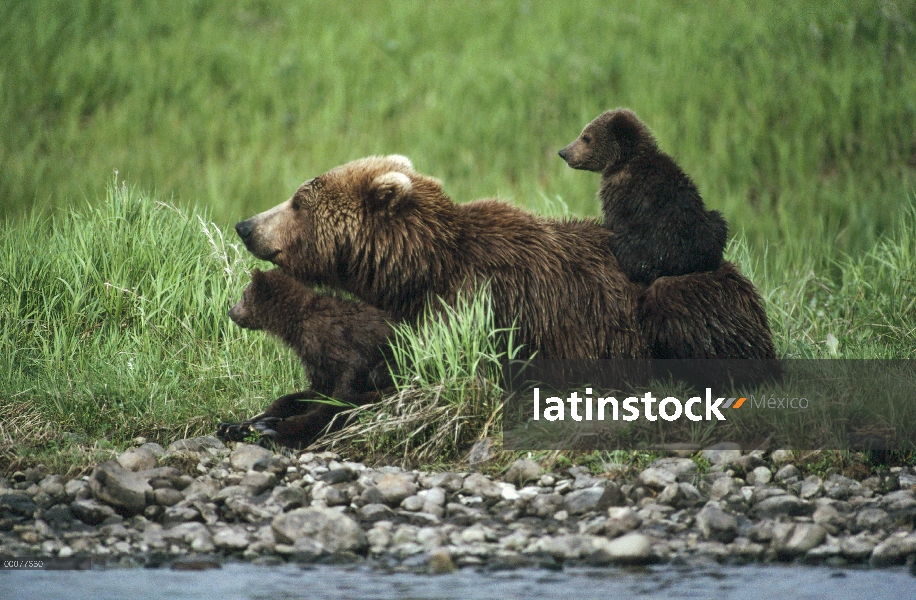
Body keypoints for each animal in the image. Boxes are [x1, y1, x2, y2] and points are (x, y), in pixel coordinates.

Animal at [560, 109, 728, 284]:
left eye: (586, 137)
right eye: (583, 134)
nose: (563, 152)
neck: (624, 160)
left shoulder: (620, 194)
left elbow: (612, 219)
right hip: (710, 227)